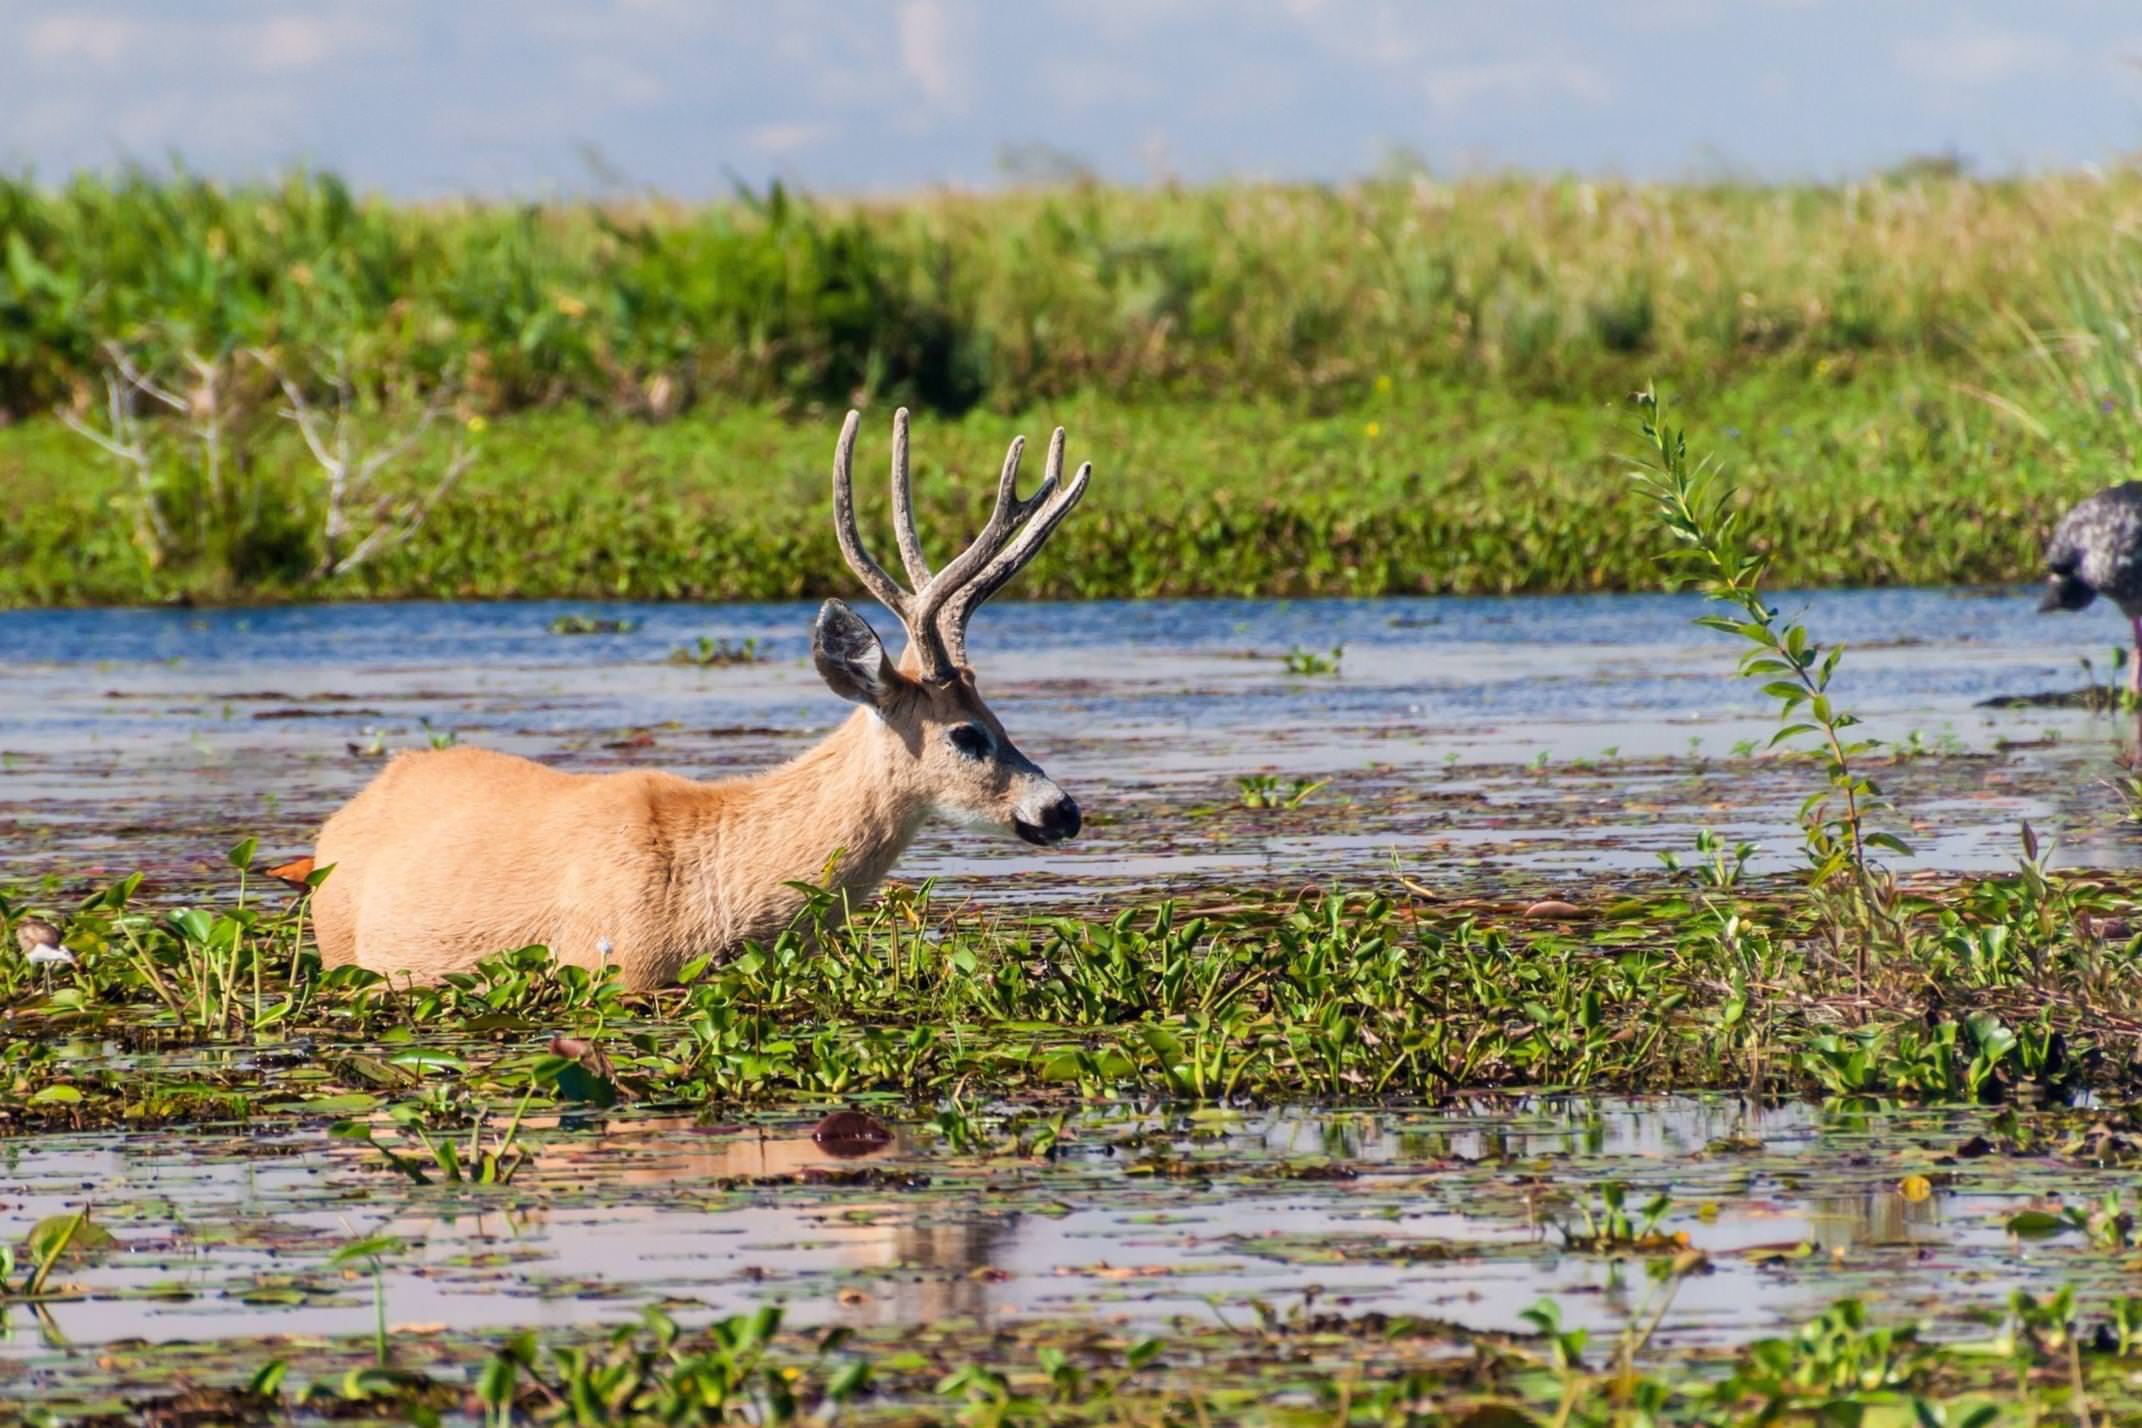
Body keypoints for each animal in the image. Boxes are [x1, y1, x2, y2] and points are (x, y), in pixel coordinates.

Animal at [306, 406, 1088, 989]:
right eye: (966, 733)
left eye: (999, 717)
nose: (1063, 809)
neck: (716, 881)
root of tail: (342, 820)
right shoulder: (611, 969)